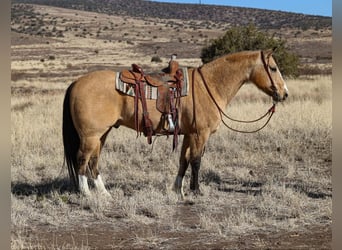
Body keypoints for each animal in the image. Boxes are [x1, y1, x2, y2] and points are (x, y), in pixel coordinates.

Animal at [62, 48, 288, 199]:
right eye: (273, 68)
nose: (284, 94)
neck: (209, 85)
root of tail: (76, 82)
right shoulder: (200, 134)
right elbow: (196, 160)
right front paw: (196, 190)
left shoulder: (188, 134)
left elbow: (183, 160)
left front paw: (177, 189)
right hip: (91, 135)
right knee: (82, 159)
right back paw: (86, 194)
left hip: (102, 134)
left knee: (93, 161)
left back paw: (105, 193)